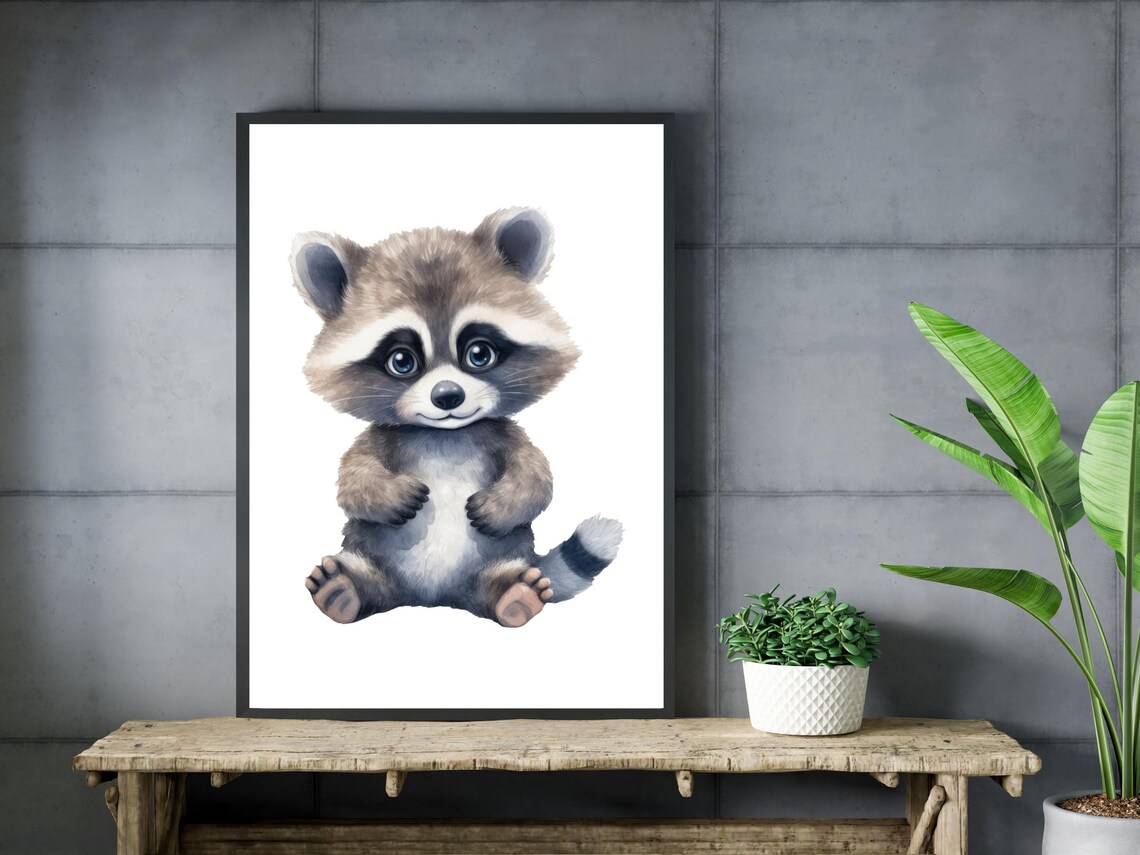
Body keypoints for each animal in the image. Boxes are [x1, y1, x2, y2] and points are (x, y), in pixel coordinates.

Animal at [293, 207, 623, 628]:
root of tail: (431, 599)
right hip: (374, 557)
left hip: (497, 561)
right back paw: (343, 589)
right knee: (365, 577)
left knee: (499, 582)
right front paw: (383, 492)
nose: (448, 395)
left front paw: (506, 503)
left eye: (479, 353)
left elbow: (536, 474)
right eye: (402, 361)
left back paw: (514, 596)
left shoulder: (502, 433)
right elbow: (353, 477)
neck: (444, 434)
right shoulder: (382, 436)